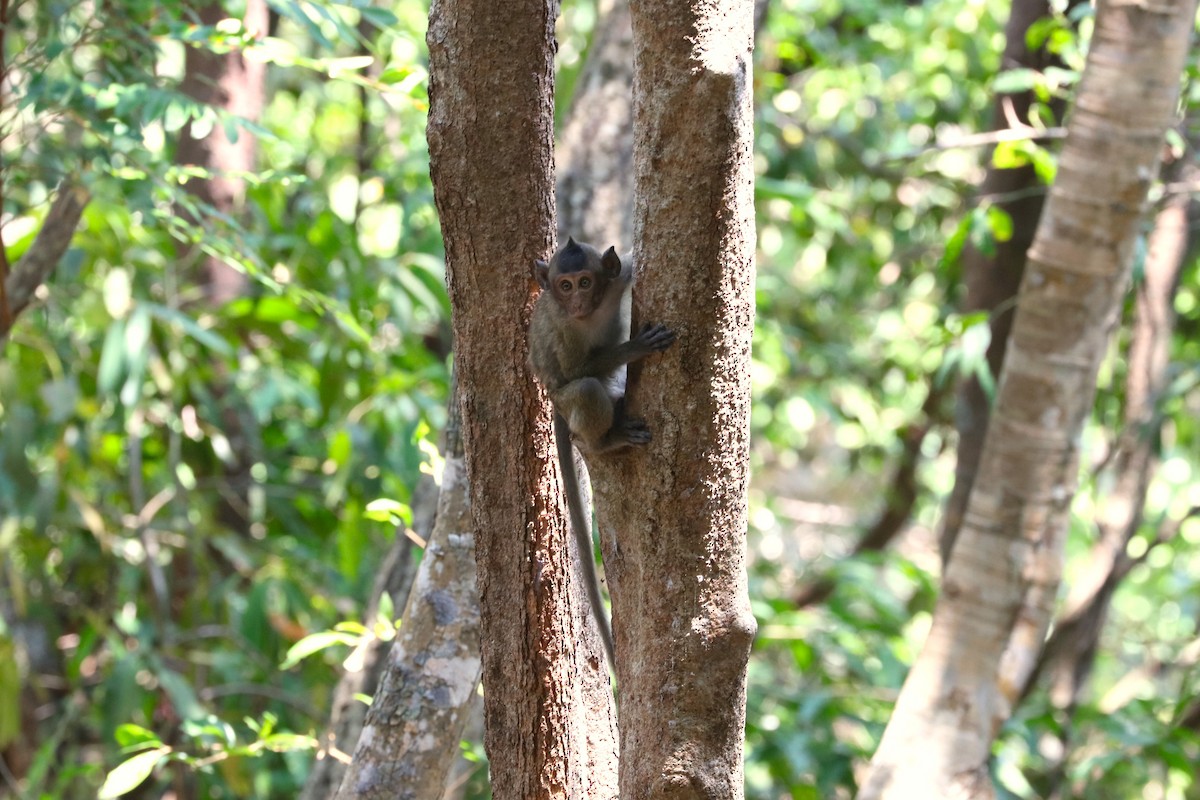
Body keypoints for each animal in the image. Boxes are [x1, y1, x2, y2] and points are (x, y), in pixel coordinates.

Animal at [528, 237, 676, 673]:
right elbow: (578, 371)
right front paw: (635, 347)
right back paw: (600, 443)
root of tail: (555, 406)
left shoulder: (620, 275)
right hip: (566, 401)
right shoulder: (564, 329)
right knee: (587, 389)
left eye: (585, 282)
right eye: (564, 285)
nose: (576, 301)